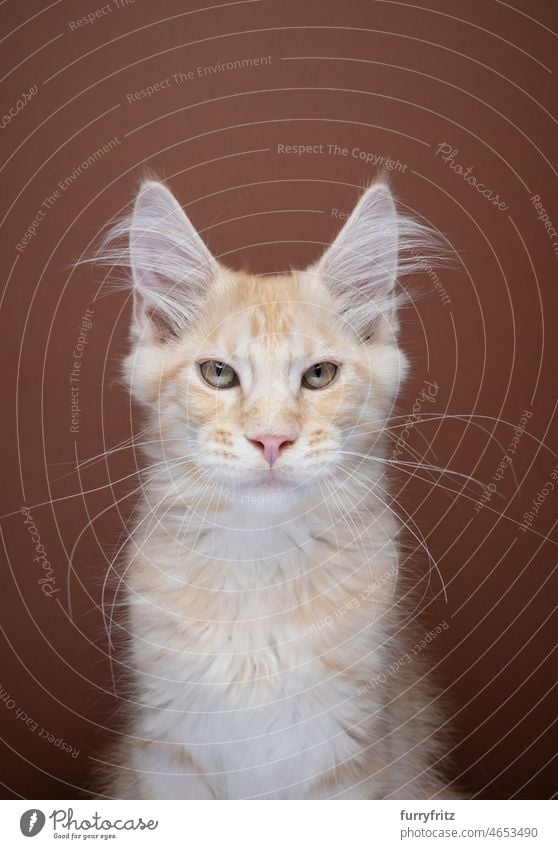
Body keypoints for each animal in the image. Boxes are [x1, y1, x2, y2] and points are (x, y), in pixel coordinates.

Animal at [93, 176, 460, 800]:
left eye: (319, 375)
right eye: (218, 374)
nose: (271, 439)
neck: (259, 566)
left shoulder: (350, 752)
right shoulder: (167, 751)